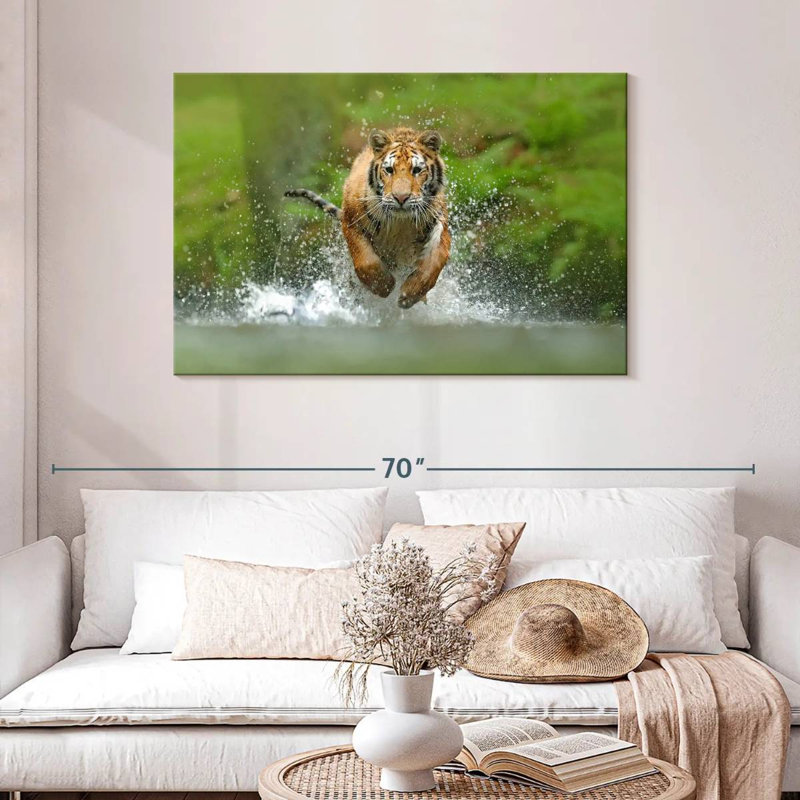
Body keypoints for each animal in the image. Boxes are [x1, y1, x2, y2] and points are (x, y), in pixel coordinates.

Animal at [285, 127, 450, 309]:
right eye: (389, 170)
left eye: (416, 170)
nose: (401, 198)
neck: (401, 222)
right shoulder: (351, 221)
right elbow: (366, 260)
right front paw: (384, 286)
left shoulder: (439, 222)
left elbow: (435, 261)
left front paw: (410, 294)